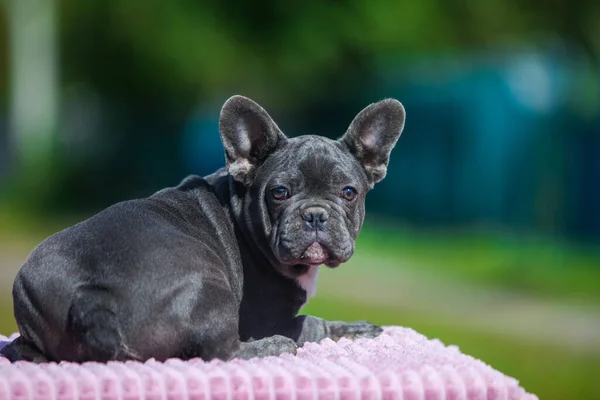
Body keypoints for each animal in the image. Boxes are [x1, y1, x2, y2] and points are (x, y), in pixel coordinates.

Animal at [0, 96, 406, 362]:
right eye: (279, 193)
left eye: (349, 193)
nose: (316, 215)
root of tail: (91, 297)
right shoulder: (262, 318)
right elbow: (314, 323)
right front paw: (354, 328)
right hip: (211, 287)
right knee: (222, 352)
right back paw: (274, 347)